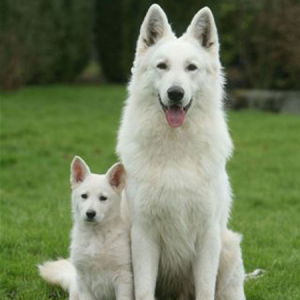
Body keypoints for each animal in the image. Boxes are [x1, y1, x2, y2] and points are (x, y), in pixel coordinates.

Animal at [39, 157, 133, 300]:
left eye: (103, 198)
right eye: (84, 196)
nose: (90, 213)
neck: (95, 235)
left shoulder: (123, 277)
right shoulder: (83, 280)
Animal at [117, 4, 246, 300]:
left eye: (191, 68)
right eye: (162, 66)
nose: (175, 93)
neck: (176, 146)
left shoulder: (208, 235)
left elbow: (206, 290)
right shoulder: (144, 236)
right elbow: (144, 290)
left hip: (229, 247)